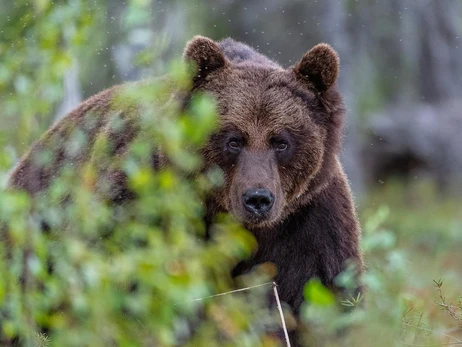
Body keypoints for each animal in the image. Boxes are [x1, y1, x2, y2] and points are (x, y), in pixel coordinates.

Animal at [7, 36, 362, 324]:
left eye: (281, 141)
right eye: (234, 140)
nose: (257, 199)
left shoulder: (309, 221)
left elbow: (317, 293)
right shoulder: (142, 196)